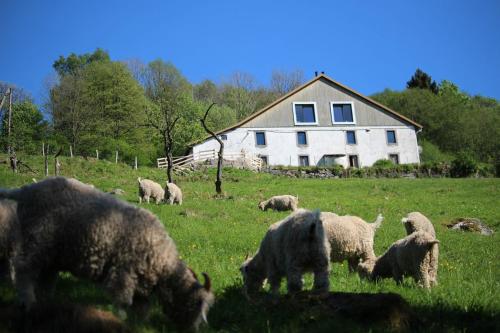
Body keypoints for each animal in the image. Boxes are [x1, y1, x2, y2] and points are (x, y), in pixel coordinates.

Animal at [0, 176, 213, 330]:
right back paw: (28, 302)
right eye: (196, 304)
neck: (162, 264)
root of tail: (26, 190)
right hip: (38, 241)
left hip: (52, 253)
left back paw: (46, 303)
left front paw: (138, 324)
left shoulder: (141, 285)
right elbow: (123, 300)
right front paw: (120, 318)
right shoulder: (123, 272)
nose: (195, 329)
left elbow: (141, 309)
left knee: (46, 278)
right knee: (23, 270)